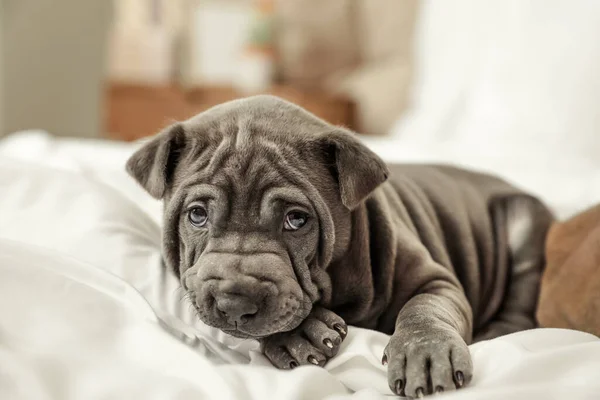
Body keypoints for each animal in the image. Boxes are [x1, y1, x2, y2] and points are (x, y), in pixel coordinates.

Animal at [125, 96, 552, 396]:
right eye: (197, 215)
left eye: (297, 219)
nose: (235, 300)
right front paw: (300, 335)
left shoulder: (436, 281)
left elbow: (424, 309)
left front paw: (425, 351)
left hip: (524, 222)